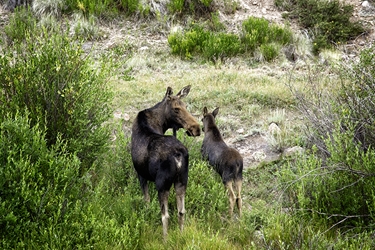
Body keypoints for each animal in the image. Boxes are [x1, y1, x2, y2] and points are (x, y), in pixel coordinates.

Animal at [132, 85, 203, 238]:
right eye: (177, 108)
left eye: (185, 106)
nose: (197, 128)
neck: (161, 123)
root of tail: (178, 155)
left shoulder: (141, 174)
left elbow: (146, 200)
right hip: (182, 180)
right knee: (181, 211)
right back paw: (181, 235)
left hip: (162, 183)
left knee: (165, 215)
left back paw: (165, 239)